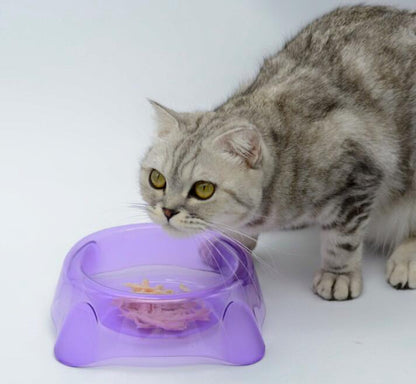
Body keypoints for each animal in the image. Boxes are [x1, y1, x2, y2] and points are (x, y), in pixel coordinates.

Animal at [140, 4, 416, 302]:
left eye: (203, 189)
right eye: (157, 179)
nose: (168, 210)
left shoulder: (359, 177)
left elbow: (342, 240)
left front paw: (337, 275)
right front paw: (231, 250)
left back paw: (407, 261)